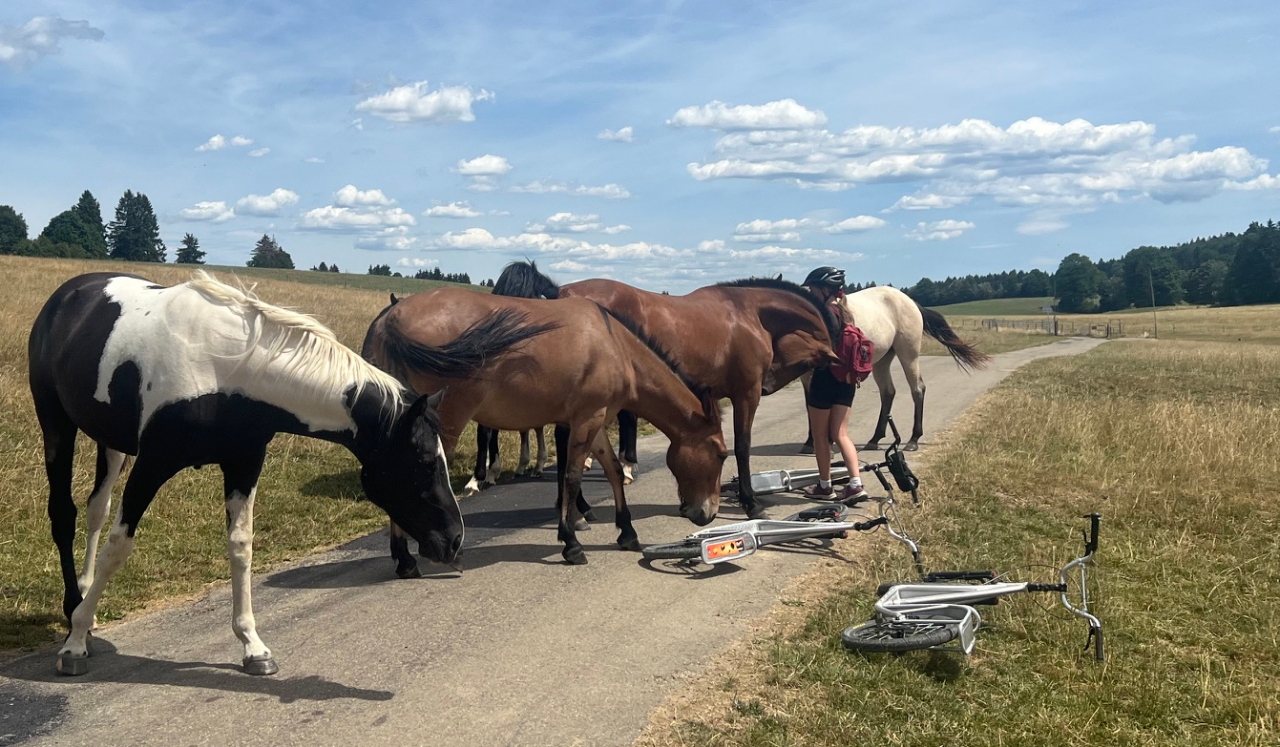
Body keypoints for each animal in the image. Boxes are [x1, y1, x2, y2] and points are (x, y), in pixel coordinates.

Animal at [27, 272, 537, 677]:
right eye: (424, 462)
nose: (454, 541)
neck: (224, 368)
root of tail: (69, 293)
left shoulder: (244, 462)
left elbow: (240, 546)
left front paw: (253, 647)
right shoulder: (154, 463)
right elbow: (120, 545)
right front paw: (74, 644)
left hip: (111, 441)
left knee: (96, 508)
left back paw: (86, 602)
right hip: (58, 426)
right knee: (65, 514)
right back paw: (75, 608)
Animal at [361, 285, 728, 569]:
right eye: (721, 454)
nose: (708, 513)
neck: (615, 346)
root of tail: (392, 318)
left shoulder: (593, 421)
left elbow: (611, 470)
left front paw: (627, 532)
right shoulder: (586, 421)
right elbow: (571, 476)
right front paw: (571, 542)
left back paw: (405, 557)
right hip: (444, 423)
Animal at [488, 261, 842, 518]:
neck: (749, 313)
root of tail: (561, 291)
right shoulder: (747, 393)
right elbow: (742, 446)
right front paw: (750, 502)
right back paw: (579, 508)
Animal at [801, 285, 991, 451]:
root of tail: (911, 302)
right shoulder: (807, 375)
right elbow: (811, 403)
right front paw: (811, 442)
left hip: (908, 356)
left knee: (917, 389)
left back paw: (913, 439)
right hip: (881, 362)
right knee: (888, 392)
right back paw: (875, 438)